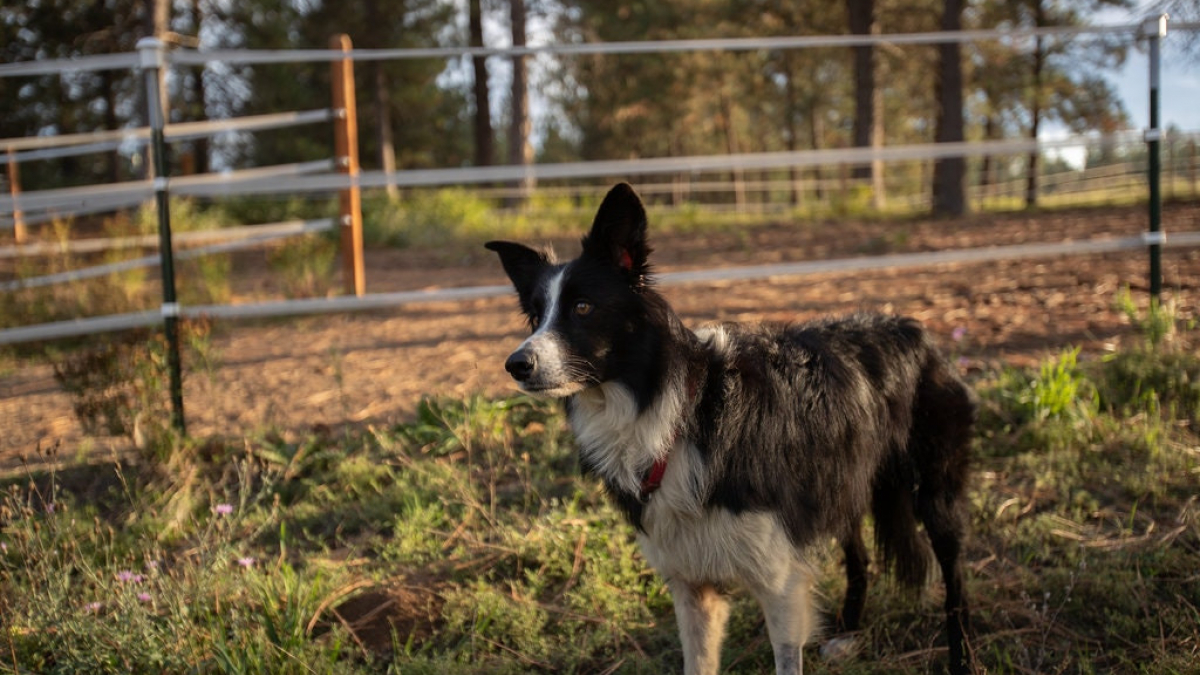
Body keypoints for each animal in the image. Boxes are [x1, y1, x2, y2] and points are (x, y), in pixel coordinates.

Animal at [484, 182, 974, 672]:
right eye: (536, 316)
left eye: (583, 307)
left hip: (934, 492)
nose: (515, 365)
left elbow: (785, 656)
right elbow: (698, 661)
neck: (678, 414)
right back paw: (849, 633)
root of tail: (911, 327)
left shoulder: (778, 578)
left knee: (953, 574)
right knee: (859, 556)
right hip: (840, 485)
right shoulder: (691, 582)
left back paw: (961, 655)